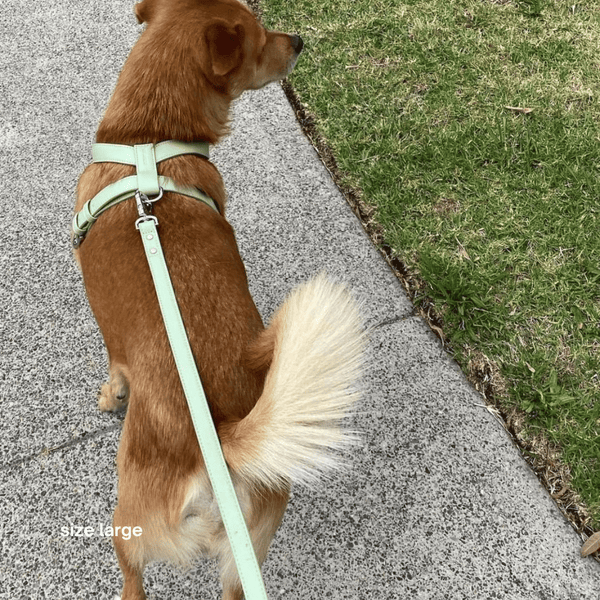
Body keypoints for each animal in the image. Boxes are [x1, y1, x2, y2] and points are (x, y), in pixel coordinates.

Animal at [75, 1, 366, 600]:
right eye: (260, 37)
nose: (299, 40)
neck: (148, 138)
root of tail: (223, 438)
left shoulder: (115, 348)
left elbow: (114, 371)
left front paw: (110, 398)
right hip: (245, 555)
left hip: (128, 522)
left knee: (133, 578)